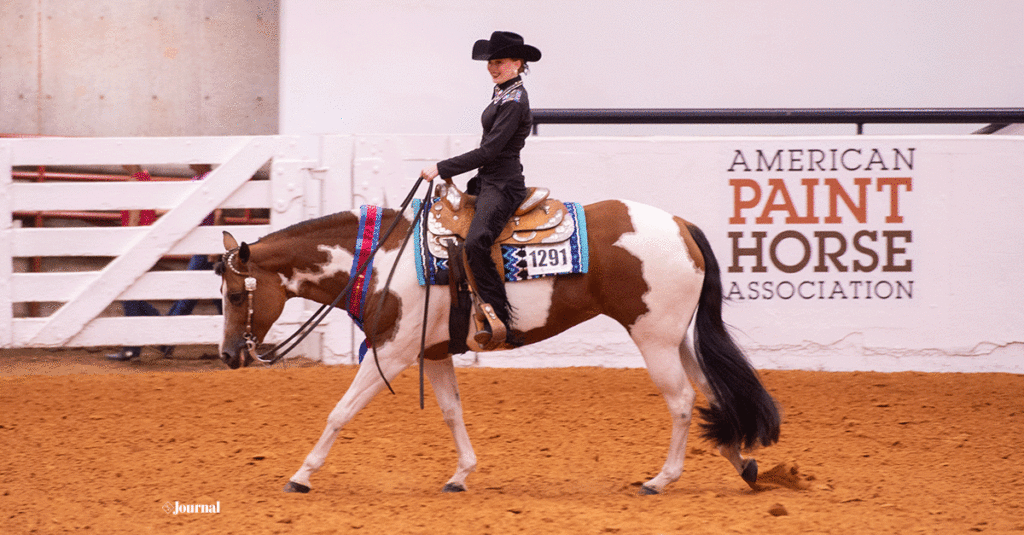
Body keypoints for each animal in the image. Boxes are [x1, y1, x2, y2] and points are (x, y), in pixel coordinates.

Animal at [214, 197, 774, 494]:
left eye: (236, 293)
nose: (228, 355)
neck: (380, 260)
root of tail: (682, 226)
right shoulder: (432, 353)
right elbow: (451, 412)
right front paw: (461, 475)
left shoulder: (391, 353)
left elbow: (340, 412)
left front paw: (301, 475)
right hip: (678, 339)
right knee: (712, 394)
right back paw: (742, 463)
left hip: (653, 337)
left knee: (682, 401)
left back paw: (662, 479)